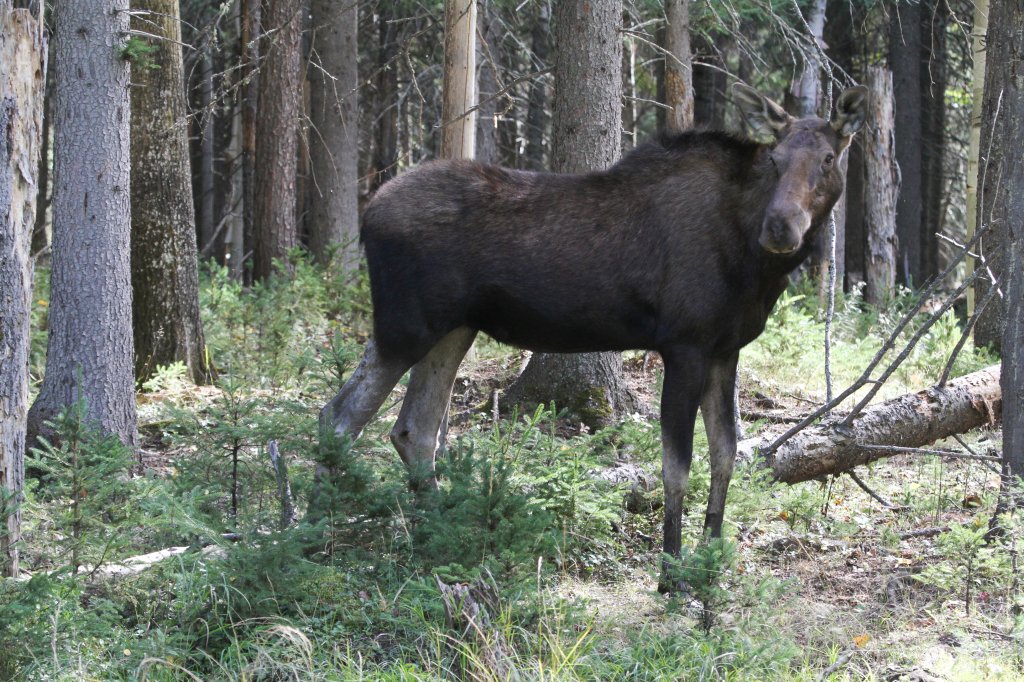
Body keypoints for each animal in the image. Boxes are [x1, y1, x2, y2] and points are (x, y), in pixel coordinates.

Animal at [319, 83, 864, 585]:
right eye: (774, 159)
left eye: (828, 158)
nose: (780, 227)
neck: (754, 266)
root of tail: (368, 213)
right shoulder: (683, 345)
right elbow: (676, 465)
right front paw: (670, 573)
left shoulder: (724, 350)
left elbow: (726, 454)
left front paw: (711, 562)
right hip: (405, 326)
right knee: (339, 416)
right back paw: (313, 535)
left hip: (454, 328)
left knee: (414, 429)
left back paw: (438, 533)